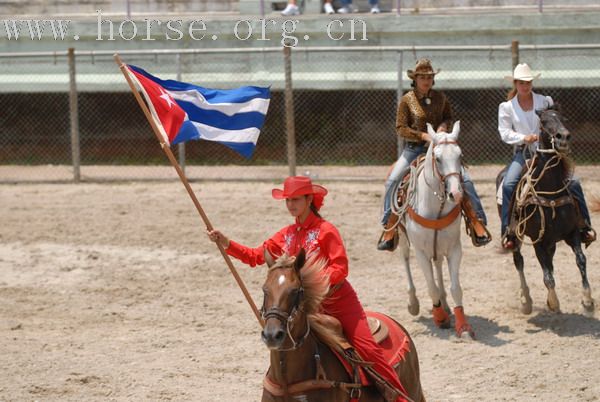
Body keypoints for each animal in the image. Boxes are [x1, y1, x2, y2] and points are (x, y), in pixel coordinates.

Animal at [398, 121, 474, 340]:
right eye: (438, 159)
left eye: (460, 156)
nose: (456, 193)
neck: (435, 208)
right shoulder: (420, 252)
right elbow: (431, 287)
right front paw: (440, 318)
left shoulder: (454, 248)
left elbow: (456, 288)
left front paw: (463, 327)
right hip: (403, 239)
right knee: (405, 259)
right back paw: (413, 303)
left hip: (438, 247)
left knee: (438, 264)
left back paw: (446, 305)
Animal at [496, 108, 596, 316]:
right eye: (543, 121)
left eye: (563, 118)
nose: (563, 137)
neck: (550, 191)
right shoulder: (537, 240)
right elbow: (547, 275)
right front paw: (554, 302)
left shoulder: (572, 233)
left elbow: (580, 260)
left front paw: (587, 301)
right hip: (516, 238)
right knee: (519, 261)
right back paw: (526, 301)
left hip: (551, 241)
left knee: (549, 262)